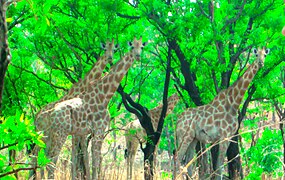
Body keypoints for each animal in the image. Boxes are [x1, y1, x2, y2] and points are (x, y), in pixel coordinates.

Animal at [33, 36, 146, 179]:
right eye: (132, 46)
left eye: (141, 47)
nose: (137, 56)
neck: (104, 96)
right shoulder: (97, 131)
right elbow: (93, 162)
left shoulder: (84, 133)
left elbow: (87, 160)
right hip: (58, 133)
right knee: (49, 160)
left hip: (50, 135)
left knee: (44, 158)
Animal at [175, 47, 268, 179]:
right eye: (256, 54)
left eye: (265, 55)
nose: (261, 63)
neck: (233, 103)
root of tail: (178, 120)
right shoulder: (224, 136)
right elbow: (219, 167)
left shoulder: (228, 137)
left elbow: (219, 166)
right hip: (184, 135)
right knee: (178, 157)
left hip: (193, 138)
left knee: (188, 162)